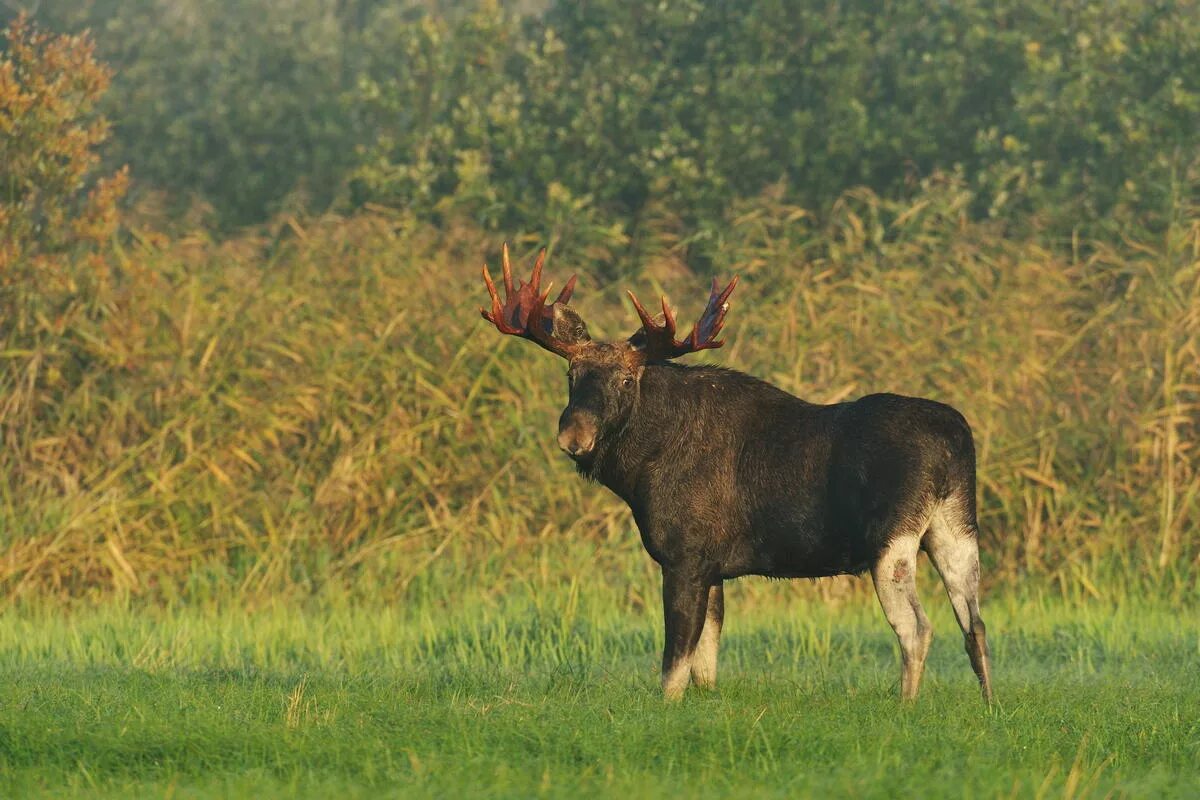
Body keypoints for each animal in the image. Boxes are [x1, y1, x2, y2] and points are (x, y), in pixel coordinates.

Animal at [477, 244, 993, 700]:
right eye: (571, 376)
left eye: (626, 379)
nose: (574, 436)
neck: (640, 470)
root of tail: (956, 439)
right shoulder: (714, 567)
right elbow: (705, 666)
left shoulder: (684, 556)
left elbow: (673, 666)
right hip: (954, 528)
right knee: (975, 623)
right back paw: (989, 706)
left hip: (893, 541)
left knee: (918, 628)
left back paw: (906, 705)